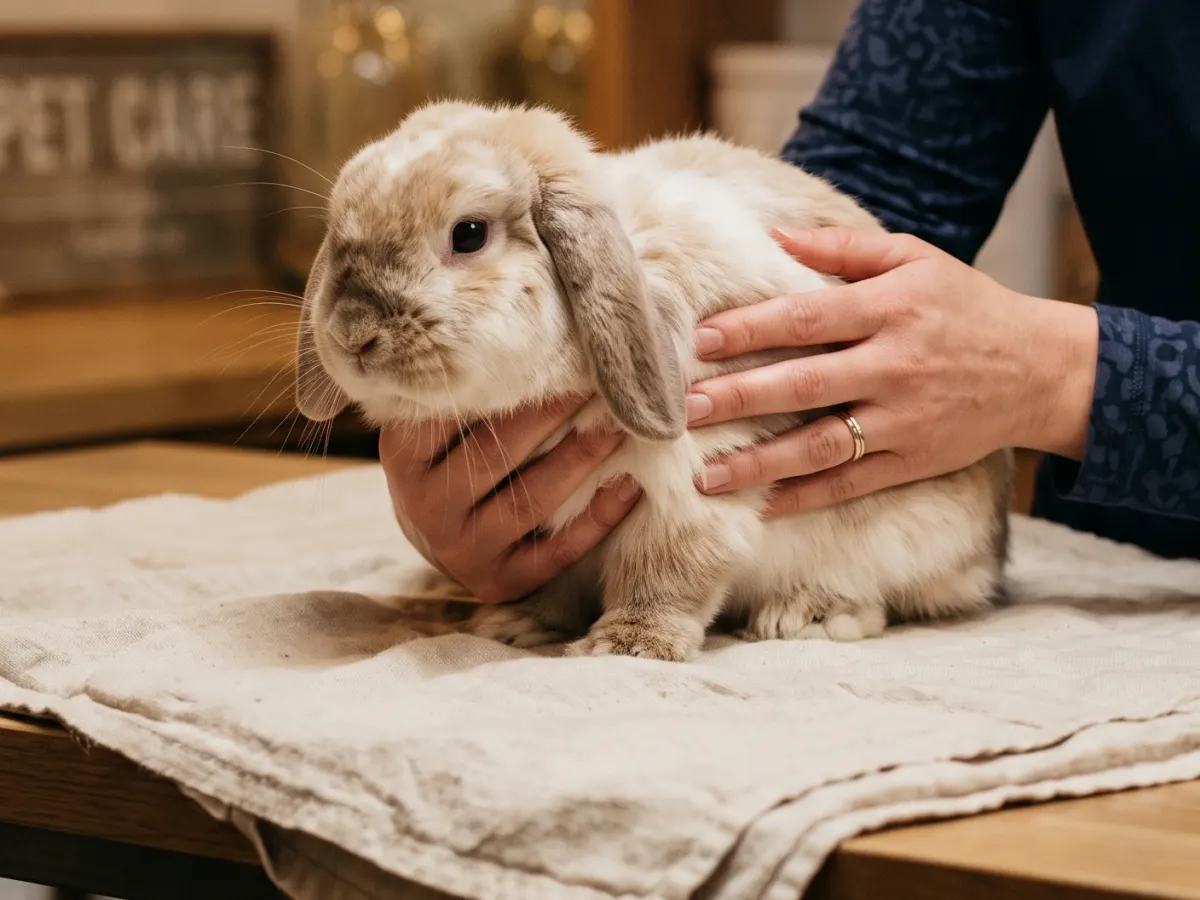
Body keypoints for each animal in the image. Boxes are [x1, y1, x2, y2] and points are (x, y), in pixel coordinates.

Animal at [294, 100, 1014, 662]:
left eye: (468, 234)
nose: (353, 334)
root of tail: (989, 551)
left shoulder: (694, 478)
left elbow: (667, 569)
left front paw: (630, 646)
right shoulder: (544, 533)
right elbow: (549, 583)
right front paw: (515, 625)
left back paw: (802, 615)